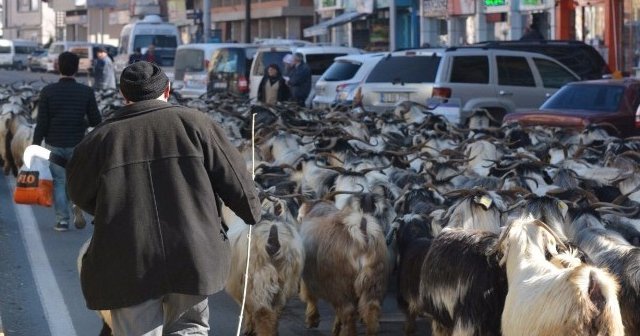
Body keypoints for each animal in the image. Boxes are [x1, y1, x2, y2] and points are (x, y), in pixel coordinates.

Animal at [296, 201, 390, 334]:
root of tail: (361, 230)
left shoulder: (309, 277)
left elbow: (310, 297)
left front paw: (312, 320)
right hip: (374, 278)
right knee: (371, 309)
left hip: (339, 283)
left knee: (347, 312)